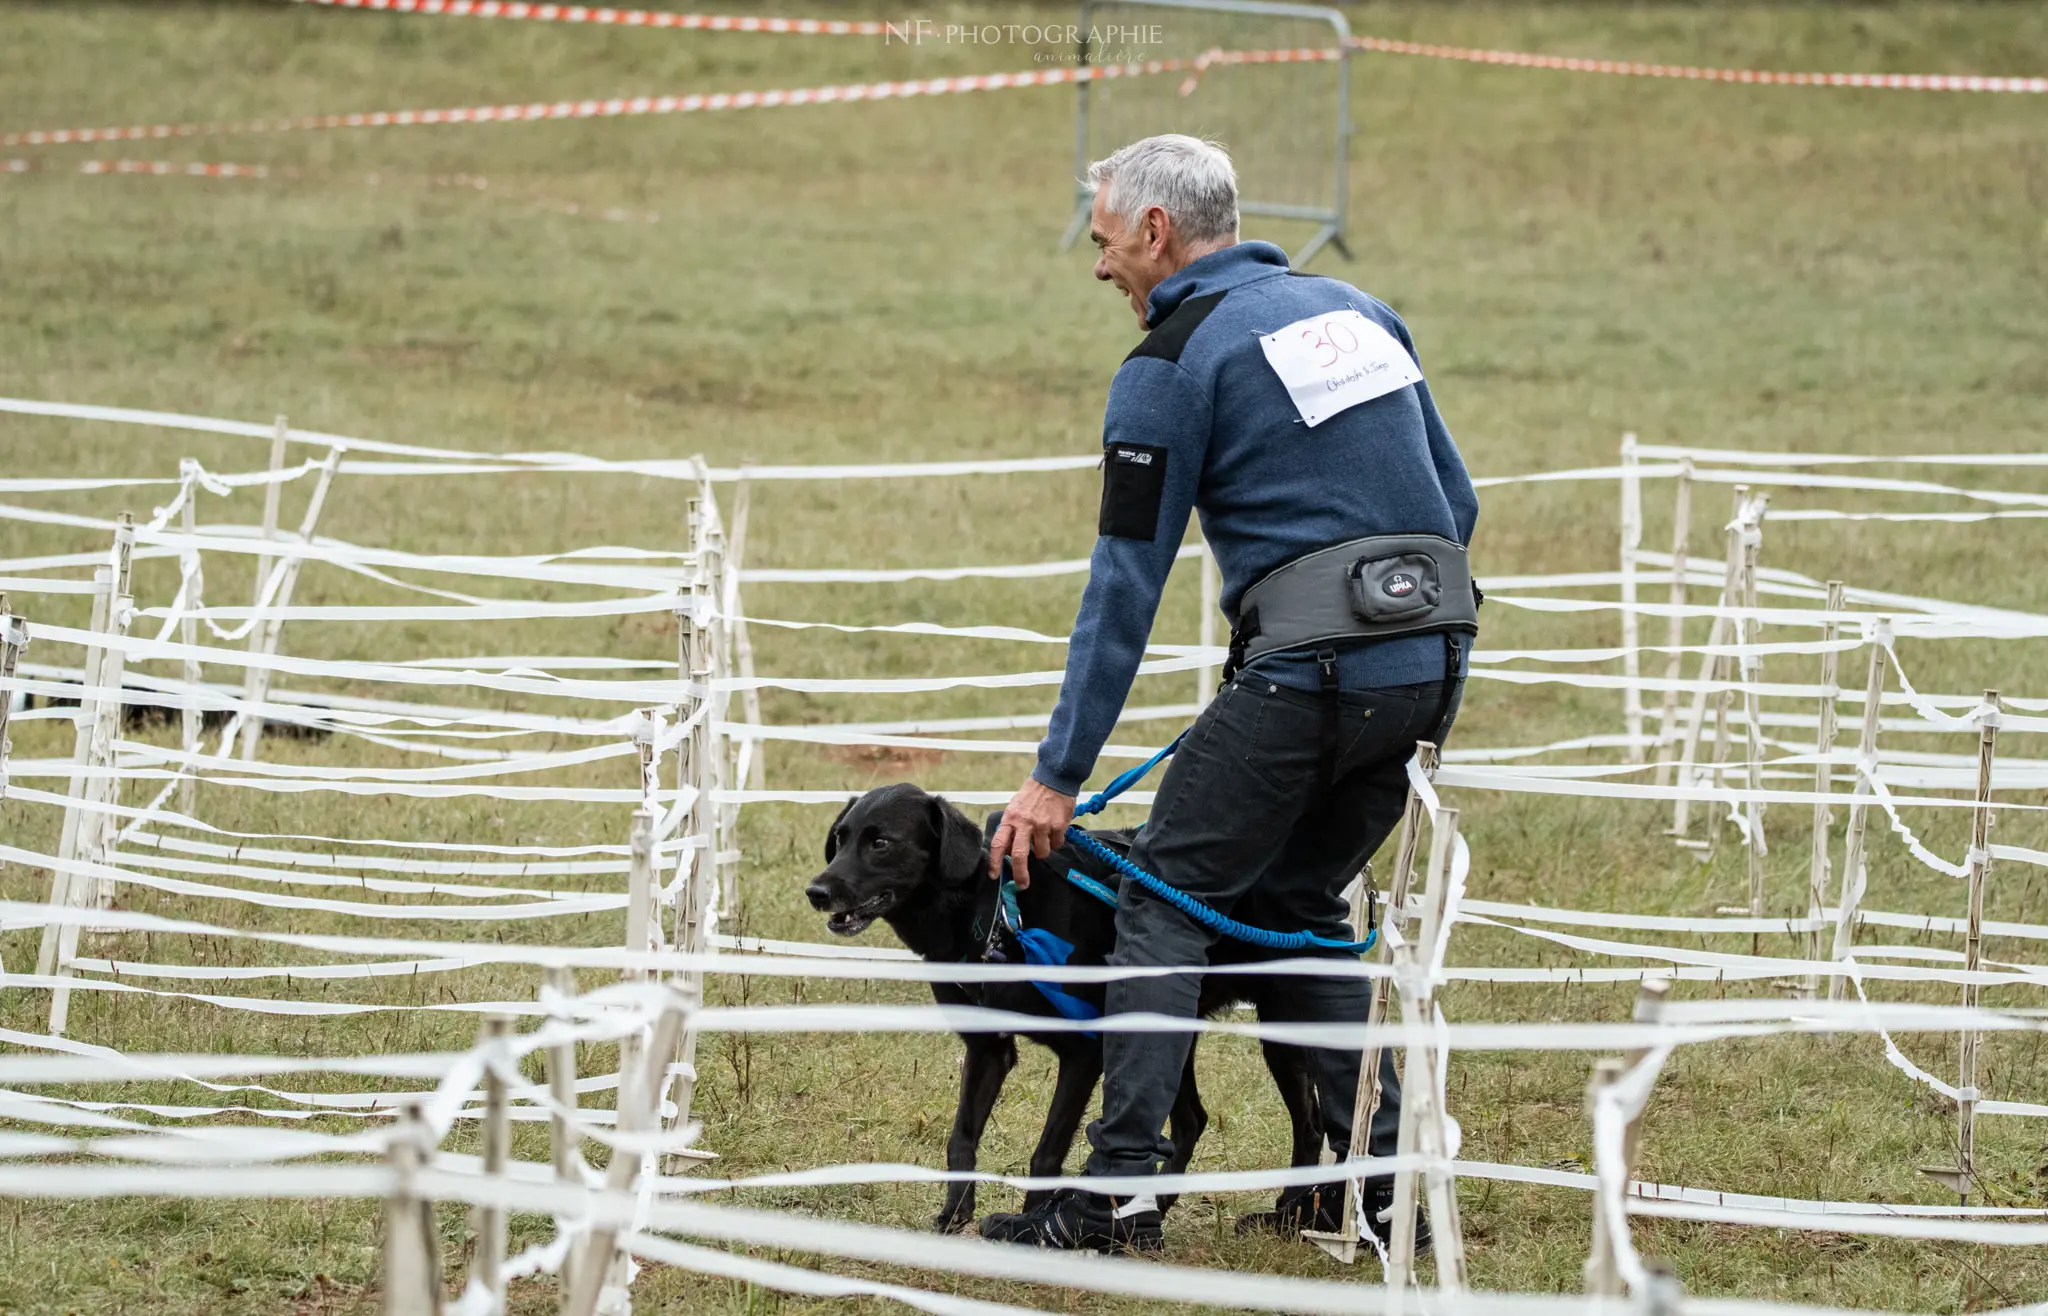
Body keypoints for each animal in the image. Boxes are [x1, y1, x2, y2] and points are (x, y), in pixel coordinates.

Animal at [806, 781, 1335, 1236]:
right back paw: (1158, 1207)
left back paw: (1289, 1217)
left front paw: (1030, 1224)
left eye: (881, 842)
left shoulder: (1085, 1053)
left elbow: (1046, 1153)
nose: (816, 891)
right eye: (841, 838)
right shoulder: (988, 1050)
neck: (993, 910)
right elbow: (961, 1140)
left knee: (1310, 1126)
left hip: (1284, 1029)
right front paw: (952, 1217)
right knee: (1193, 1119)